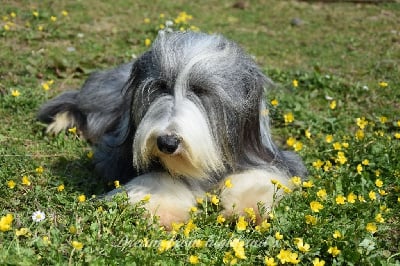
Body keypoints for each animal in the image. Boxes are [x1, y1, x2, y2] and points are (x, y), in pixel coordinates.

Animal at [37, 30, 306, 227]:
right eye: (161, 86)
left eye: (201, 90)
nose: (167, 143)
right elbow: (159, 178)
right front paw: (164, 213)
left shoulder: (258, 154)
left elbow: (258, 176)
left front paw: (250, 210)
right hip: (101, 101)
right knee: (77, 104)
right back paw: (60, 122)